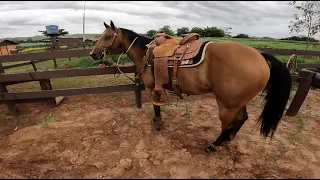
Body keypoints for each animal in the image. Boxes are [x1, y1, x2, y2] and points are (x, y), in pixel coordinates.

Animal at [89, 20, 292, 152]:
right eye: (100, 36)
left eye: (108, 36)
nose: (93, 54)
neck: (146, 53)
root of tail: (261, 57)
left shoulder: (152, 87)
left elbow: (155, 106)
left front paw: (157, 123)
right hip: (237, 102)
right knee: (242, 119)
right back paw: (229, 139)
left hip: (226, 105)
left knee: (227, 124)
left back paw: (214, 145)